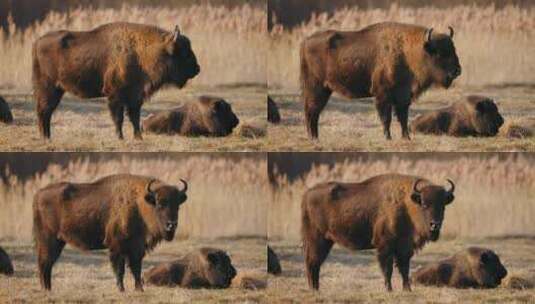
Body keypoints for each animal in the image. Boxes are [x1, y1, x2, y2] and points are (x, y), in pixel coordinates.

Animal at [33, 22, 201, 140]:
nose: (197, 69)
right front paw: (120, 137)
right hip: (49, 89)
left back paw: (47, 137)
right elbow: (119, 118)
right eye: (183, 51)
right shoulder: (116, 95)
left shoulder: (135, 96)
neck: (142, 52)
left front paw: (138, 137)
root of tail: (38, 42)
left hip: (56, 90)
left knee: (46, 112)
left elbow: (135, 117)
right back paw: (45, 137)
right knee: (44, 111)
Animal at [33, 175, 188, 290]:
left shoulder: (137, 248)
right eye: (160, 204)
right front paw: (121, 289)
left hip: (58, 242)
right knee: (44, 263)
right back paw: (45, 289)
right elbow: (120, 270)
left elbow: (136, 269)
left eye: (177, 206)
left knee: (47, 264)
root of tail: (38, 194)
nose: (171, 225)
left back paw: (48, 289)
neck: (139, 204)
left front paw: (139, 289)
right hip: (49, 240)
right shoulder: (117, 247)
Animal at [302, 22, 460, 140]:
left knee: (314, 112)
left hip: (324, 90)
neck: (407, 52)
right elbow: (386, 117)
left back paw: (315, 137)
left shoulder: (403, 96)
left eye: (453, 48)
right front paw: (388, 137)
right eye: (439, 53)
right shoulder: (383, 95)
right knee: (311, 111)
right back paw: (313, 137)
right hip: (317, 88)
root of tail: (306, 41)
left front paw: (406, 137)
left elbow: (403, 117)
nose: (457, 70)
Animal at [302, 173, 456, 290]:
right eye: (424, 204)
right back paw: (314, 289)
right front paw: (389, 289)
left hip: (325, 241)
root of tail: (308, 193)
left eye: (443, 206)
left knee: (315, 264)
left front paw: (407, 289)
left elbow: (404, 269)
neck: (407, 204)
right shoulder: (385, 246)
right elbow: (388, 269)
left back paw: (316, 289)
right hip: (317, 240)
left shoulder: (405, 248)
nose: (434, 225)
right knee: (312, 263)